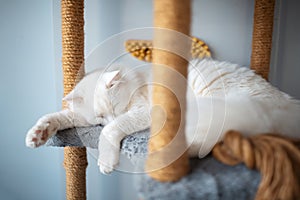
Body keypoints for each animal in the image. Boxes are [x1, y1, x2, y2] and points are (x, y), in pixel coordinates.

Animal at [25, 59, 300, 173]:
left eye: (117, 108)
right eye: (100, 116)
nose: (110, 118)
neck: (137, 81)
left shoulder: (144, 111)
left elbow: (111, 131)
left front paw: (106, 162)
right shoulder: (84, 121)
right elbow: (59, 116)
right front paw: (37, 134)